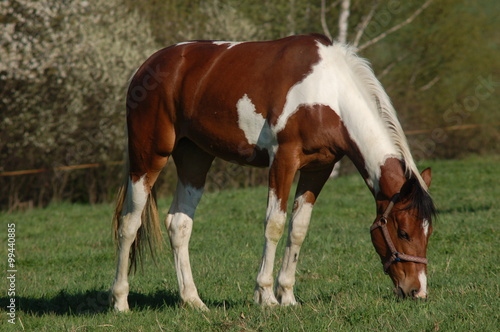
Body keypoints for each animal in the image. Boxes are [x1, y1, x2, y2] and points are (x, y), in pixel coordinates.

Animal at [109, 33, 434, 312]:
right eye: (403, 232)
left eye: (428, 232)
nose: (418, 291)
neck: (329, 92)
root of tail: (147, 66)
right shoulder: (283, 160)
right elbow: (275, 225)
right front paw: (265, 295)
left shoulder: (319, 168)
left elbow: (298, 229)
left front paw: (287, 295)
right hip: (149, 157)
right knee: (129, 224)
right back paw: (120, 301)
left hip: (194, 159)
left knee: (179, 224)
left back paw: (193, 300)